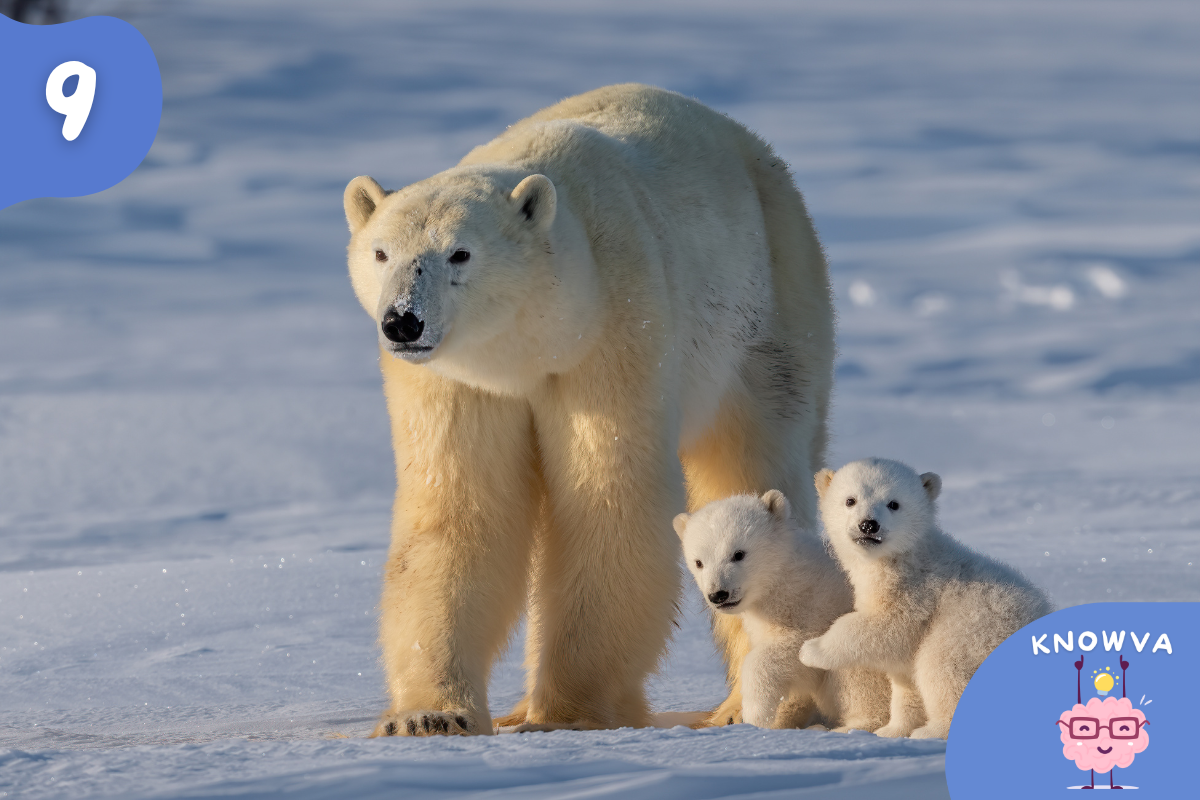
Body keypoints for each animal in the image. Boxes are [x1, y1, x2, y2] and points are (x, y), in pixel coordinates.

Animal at [342, 84, 834, 736]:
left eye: (460, 253)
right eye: (380, 252)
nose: (403, 320)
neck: (533, 343)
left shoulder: (614, 328)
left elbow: (607, 500)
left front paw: (567, 714)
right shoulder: (458, 381)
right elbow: (458, 510)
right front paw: (429, 716)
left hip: (770, 309)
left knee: (753, 460)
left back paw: (748, 707)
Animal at [674, 490, 890, 731]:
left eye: (738, 554)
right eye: (699, 562)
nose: (718, 594)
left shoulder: (816, 606)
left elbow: (796, 652)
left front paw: (756, 713)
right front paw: (781, 718)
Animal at [799, 458, 1053, 739]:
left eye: (894, 503)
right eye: (850, 500)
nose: (869, 525)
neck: (903, 556)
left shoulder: (916, 592)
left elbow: (886, 627)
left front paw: (811, 650)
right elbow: (904, 680)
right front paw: (891, 730)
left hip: (974, 631)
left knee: (942, 665)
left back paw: (932, 730)